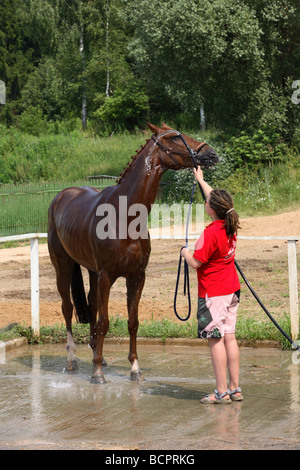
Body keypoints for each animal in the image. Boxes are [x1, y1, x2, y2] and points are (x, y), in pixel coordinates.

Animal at [48, 123, 219, 384]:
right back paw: (72, 359)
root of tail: (60, 197)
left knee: (91, 303)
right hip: (63, 267)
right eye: (173, 137)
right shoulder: (107, 275)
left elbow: (132, 322)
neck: (124, 214)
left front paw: (134, 368)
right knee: (67, 307)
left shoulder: (137, 276)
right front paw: (97, 373)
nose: (211, 154)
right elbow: (105, 321)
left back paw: (98, 355)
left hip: (91, 271)